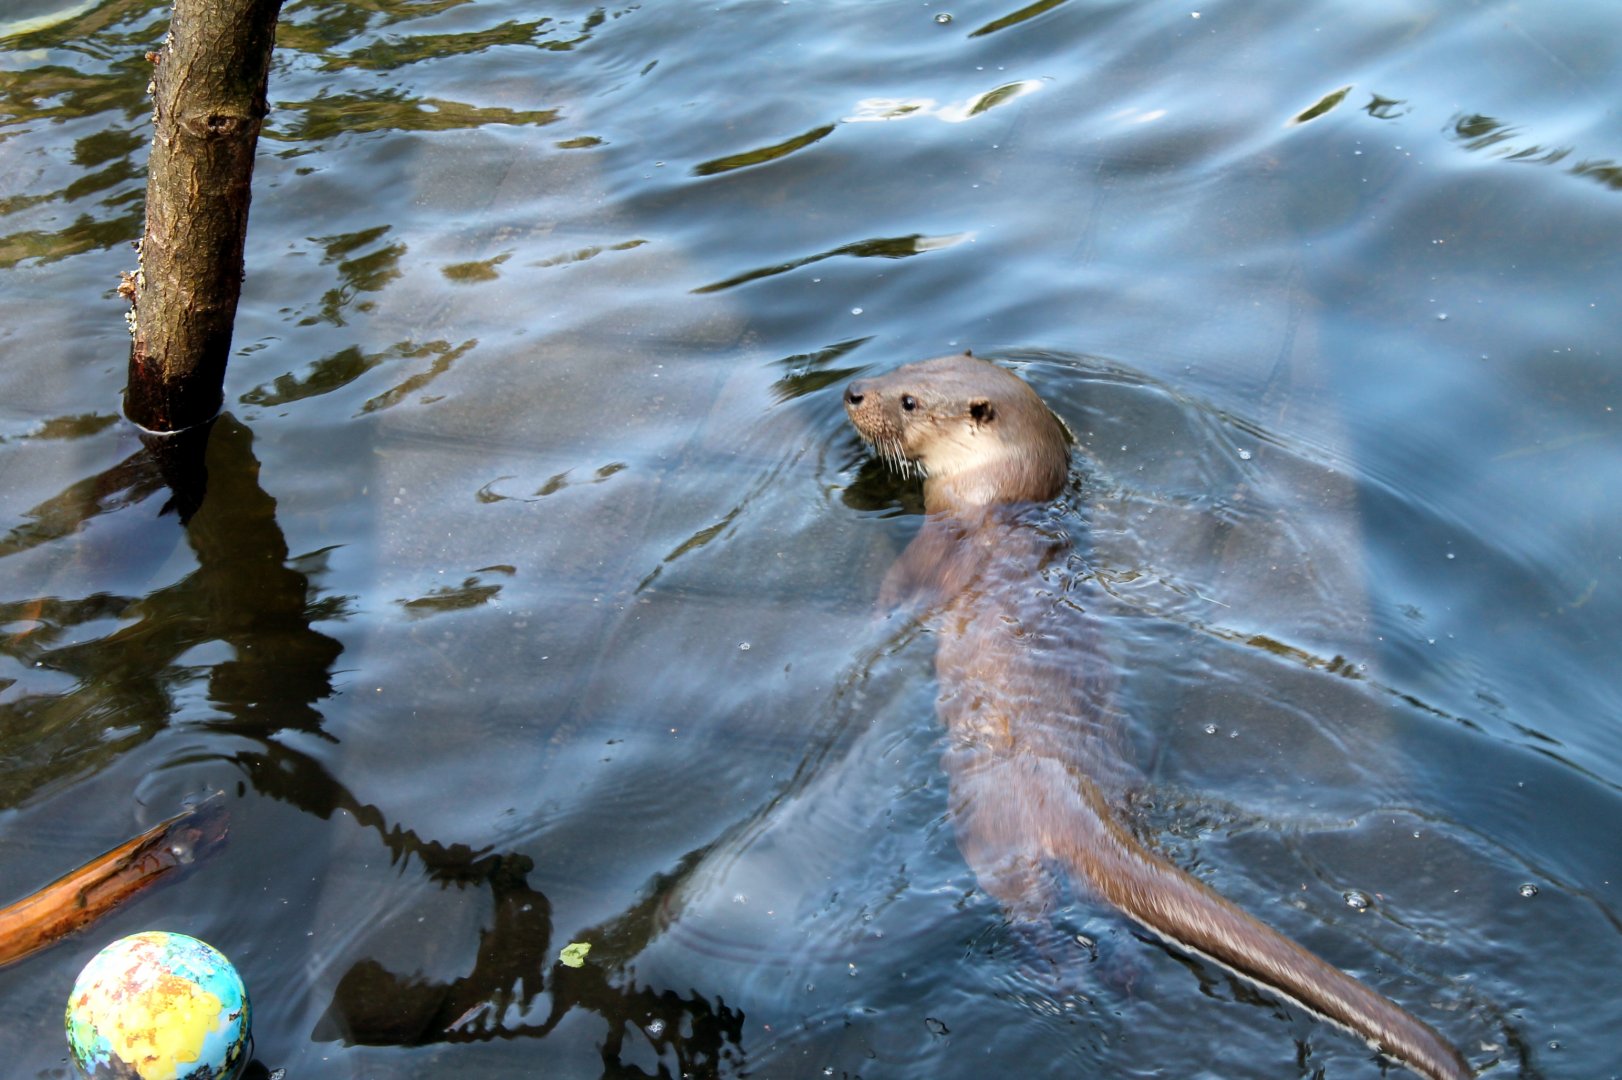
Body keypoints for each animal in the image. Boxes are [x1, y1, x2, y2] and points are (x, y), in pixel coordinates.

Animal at [843, 353, 1470, 1080]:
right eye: (905, 365)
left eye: (908, 400)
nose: (853, 391)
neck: (1000, 501)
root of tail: (1080, 797)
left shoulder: (938, 542)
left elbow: (893, 595)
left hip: (991, 828)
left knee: (1030, 911)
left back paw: (1061, 980)